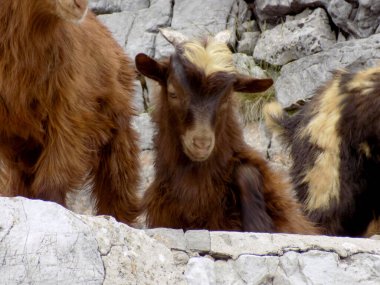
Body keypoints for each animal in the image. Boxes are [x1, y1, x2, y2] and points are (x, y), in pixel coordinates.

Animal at [0, 0, 141, 224]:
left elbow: (66, 138)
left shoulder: (64, 82)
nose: (80, 5)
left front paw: (51, 200)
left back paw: (120, 214)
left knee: (118, 164)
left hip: (114, 99)